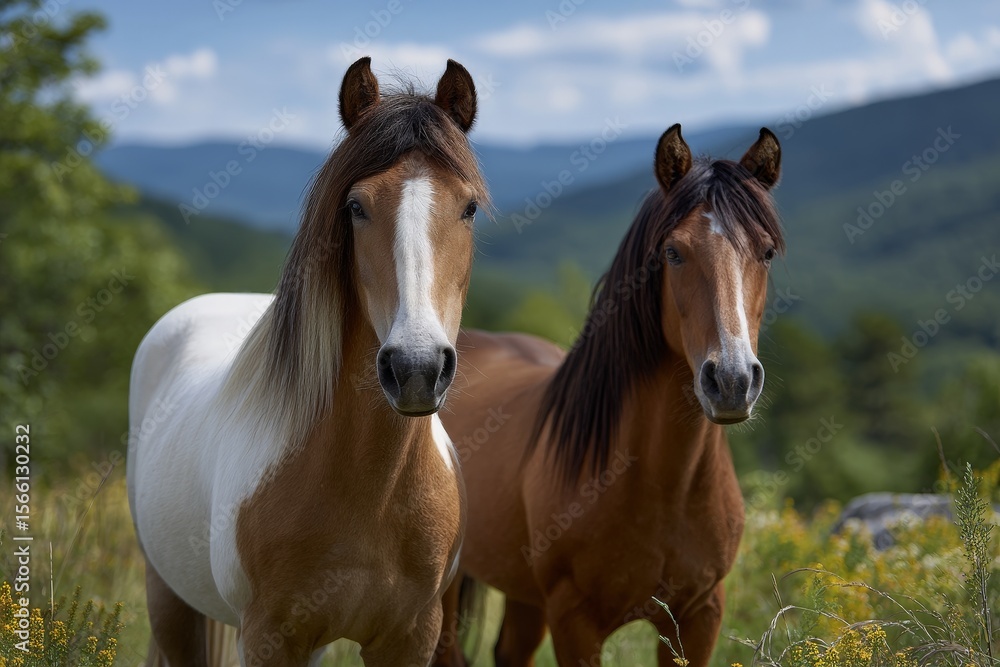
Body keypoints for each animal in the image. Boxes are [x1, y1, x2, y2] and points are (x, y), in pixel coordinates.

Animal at [127, 56, 488, 667]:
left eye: (469, 207)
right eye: (356, 206)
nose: (416, 367)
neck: (369, 490)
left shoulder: (410, 637)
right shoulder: (269, 637)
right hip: (168, 598)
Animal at [432, 124, 784, 667]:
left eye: (765, 252)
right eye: (673, 252)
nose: (731, 381)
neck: (664, 485)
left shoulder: (699, 617)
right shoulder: (575, 621)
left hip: (524, 595)